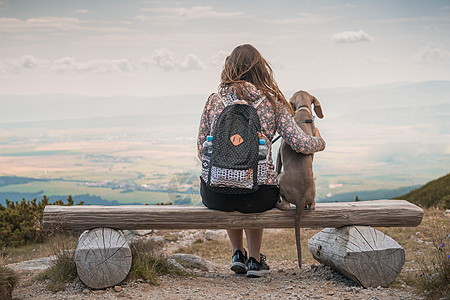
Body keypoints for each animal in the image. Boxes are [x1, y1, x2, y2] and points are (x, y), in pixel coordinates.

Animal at [274, 90, 324, 268]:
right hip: (312, 195)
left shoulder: (279, 152)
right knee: (313, 206)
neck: (303, 110)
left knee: (286, 205)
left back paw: (278, 203)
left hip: (280, 179)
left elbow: (277, 164)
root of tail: (301, 200)